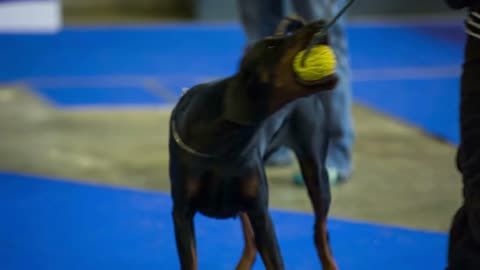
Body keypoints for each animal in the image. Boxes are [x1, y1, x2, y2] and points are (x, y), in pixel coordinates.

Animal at [169, 17, 342, 270]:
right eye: (270, 45)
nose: (320, 25)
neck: (221, 140)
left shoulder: (261, 214)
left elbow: (275, 257)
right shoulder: (182, 213)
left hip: (316, 173)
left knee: (321, 234)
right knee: (251, 243)